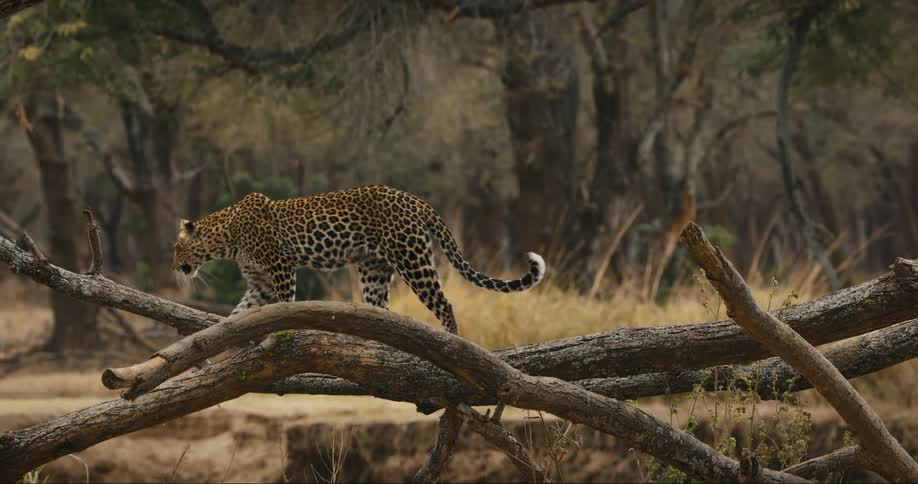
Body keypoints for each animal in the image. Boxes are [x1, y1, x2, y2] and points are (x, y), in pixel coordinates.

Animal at [172, 185, 546, 334]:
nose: (175, 268)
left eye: (176, 249)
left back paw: (453, 343)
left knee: (444, 304)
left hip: (412, 259)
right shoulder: (259, 284)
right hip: (374, 270)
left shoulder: (280, 267)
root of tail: (416, 200)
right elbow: (238, 313)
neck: (228, 238)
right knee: (383, 311)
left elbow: (285, 303)